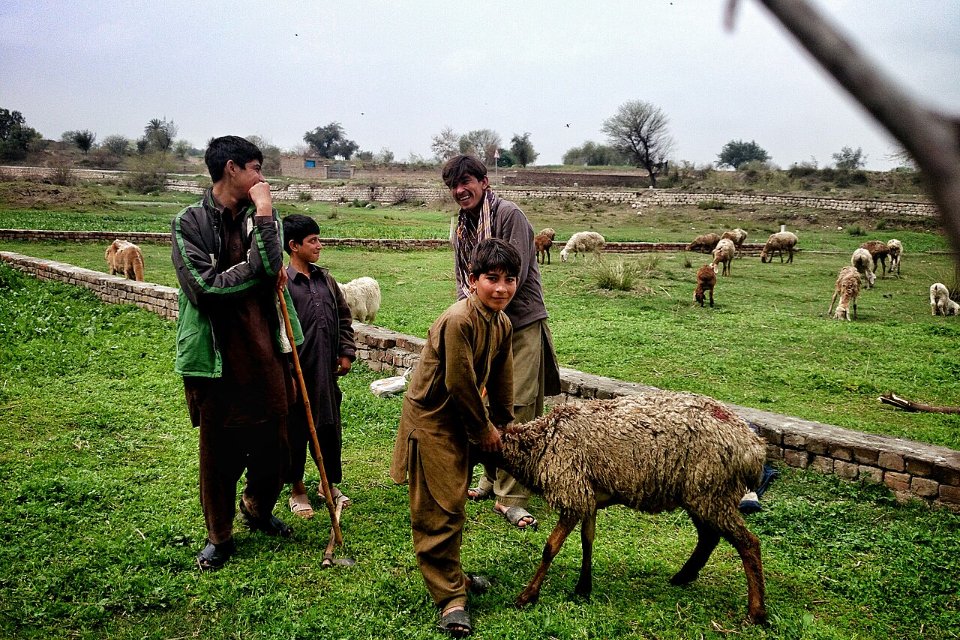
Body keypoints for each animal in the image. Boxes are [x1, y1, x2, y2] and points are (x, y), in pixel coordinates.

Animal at [493, 391, 768, 623]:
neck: (539, 442)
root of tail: (754, 448)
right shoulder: (589, 498)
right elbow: (587, 540)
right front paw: (583, 588)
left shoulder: (573, 492)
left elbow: (550, 547)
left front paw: (527, 596)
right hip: (701, 493)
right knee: (709, 537)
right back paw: (682, 577)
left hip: (711, 492)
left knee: (748, 543)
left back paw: (756, 613)